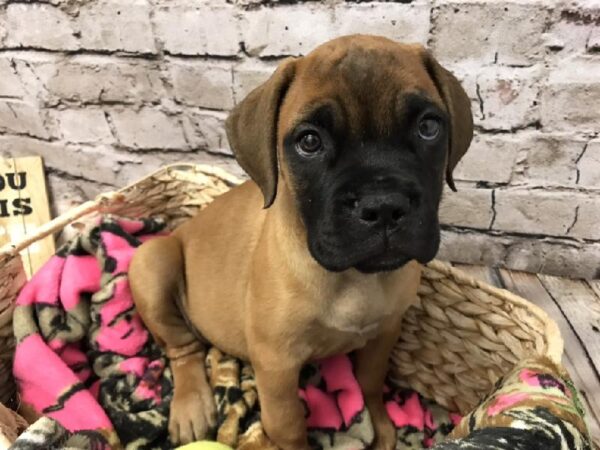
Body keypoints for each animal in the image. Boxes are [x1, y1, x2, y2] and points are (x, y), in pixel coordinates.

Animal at [130, 33, 474, 448]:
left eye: (428, 127)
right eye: (309, 141)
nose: (383, 205)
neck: (354, 279)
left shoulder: (383, 334)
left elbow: (370, 382)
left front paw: (381, 426)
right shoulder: (276, 365)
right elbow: (289, 423)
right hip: (151, 261)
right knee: (182, 347)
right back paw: (191, 405)